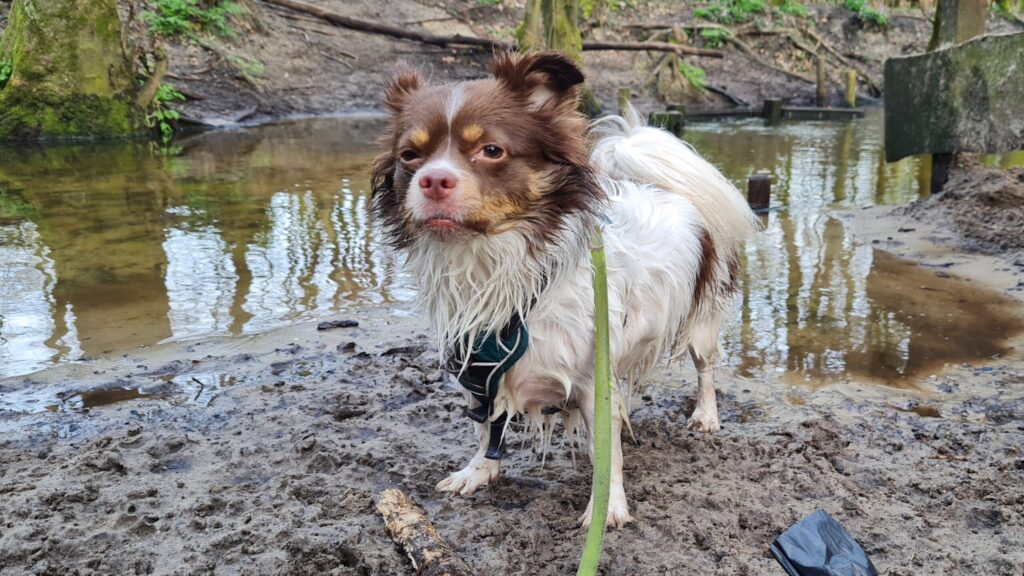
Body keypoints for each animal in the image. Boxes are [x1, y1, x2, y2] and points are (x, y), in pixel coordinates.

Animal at [372, 50, 757, 524]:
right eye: (410, 155)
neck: (490, 265)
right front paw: (479, 470)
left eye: (491, 150)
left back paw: (705, 414)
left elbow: (606, 452)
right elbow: (486, 428)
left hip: (703, 317)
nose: (433, 180)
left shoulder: (593, 382)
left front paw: (607, 507)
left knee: (705, 368)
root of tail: (665, 187)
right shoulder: (480, 370)